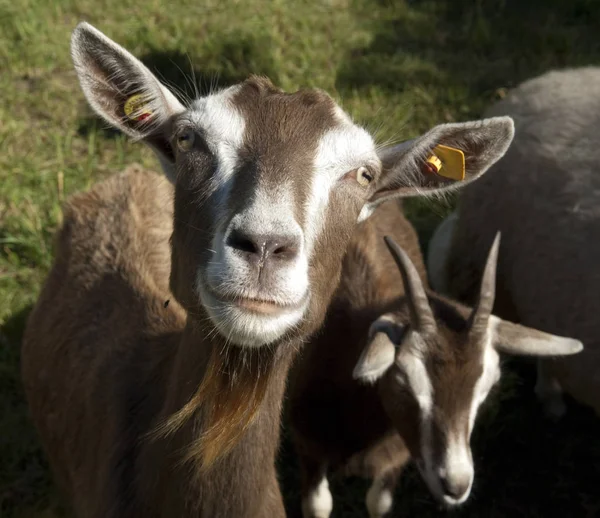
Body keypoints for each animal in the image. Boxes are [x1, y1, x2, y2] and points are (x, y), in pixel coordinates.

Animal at [290, 205, 580, 516]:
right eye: (402, 381)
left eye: (487, 386)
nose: (456, 485)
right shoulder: (309, 449)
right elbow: (318, 505)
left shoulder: (394, 459)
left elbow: (379, 503)